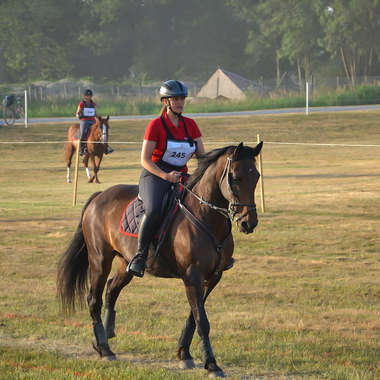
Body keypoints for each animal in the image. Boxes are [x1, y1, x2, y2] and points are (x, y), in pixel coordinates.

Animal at [57, 142, 262, 378]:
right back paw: (104, 348)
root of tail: (99, 196)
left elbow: (193, 316)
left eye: (256, 176)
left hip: (125, 263)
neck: (205, 216)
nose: (248, 223)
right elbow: (202, 321)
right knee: (94, 298)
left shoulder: (213, 277)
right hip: (100, 260)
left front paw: (184, 354)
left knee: (111, 290)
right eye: (236, 177)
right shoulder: (192, 276)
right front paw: (211, 364)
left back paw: (103, 337)